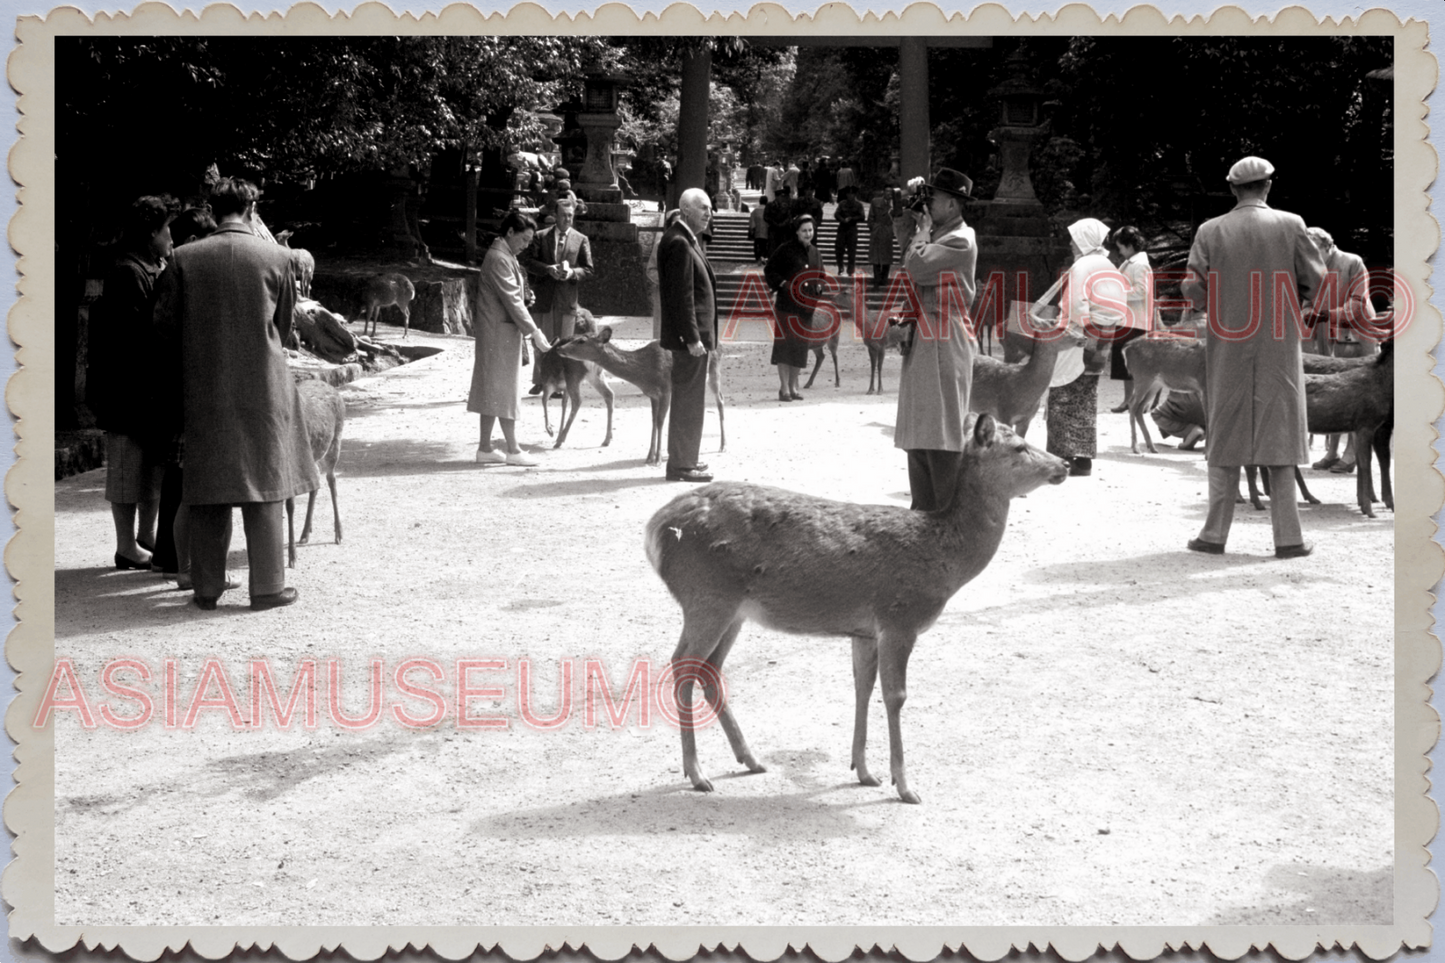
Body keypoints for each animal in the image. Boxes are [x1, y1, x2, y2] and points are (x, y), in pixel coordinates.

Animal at [286, 378, 345, 566]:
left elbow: (290, 506)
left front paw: (292, 557)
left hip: (335, 442)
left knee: (331, 479)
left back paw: (339, 533)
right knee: (316, 482)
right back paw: (306, 532)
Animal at [537, 310, 615, 454]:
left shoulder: (549, 382)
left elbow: (544, 400)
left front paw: (551, 431)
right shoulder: (564, 387)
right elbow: (563, 405)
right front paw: (557, 432)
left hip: (573, 374)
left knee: (578, 400)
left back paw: (560, 440)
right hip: (595, 375)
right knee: (609, 394)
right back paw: (607, 438)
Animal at [549, 326, 722, 465]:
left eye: (582, 341)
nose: (559, 348)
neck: (646, 372)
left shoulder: (666, 389)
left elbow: (660, 422)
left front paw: (658, 459)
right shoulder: (653, 395)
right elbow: (653, 422)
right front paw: (649, 457)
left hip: (713, 371)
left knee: (720, 400)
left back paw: (722, 446)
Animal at [644, 413, 1063, 803]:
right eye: (1020, 447)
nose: (1063, 464)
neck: (946, 559)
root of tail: (655, 530)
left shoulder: (864, 630)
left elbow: (863, 686)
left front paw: (864, 770)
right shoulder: (900, 616)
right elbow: (896, 695)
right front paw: (904, 785)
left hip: (734, 610)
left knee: (710, 669)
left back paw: (750, 758)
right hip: (707, 596)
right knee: (682, 665)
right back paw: (697, 773)